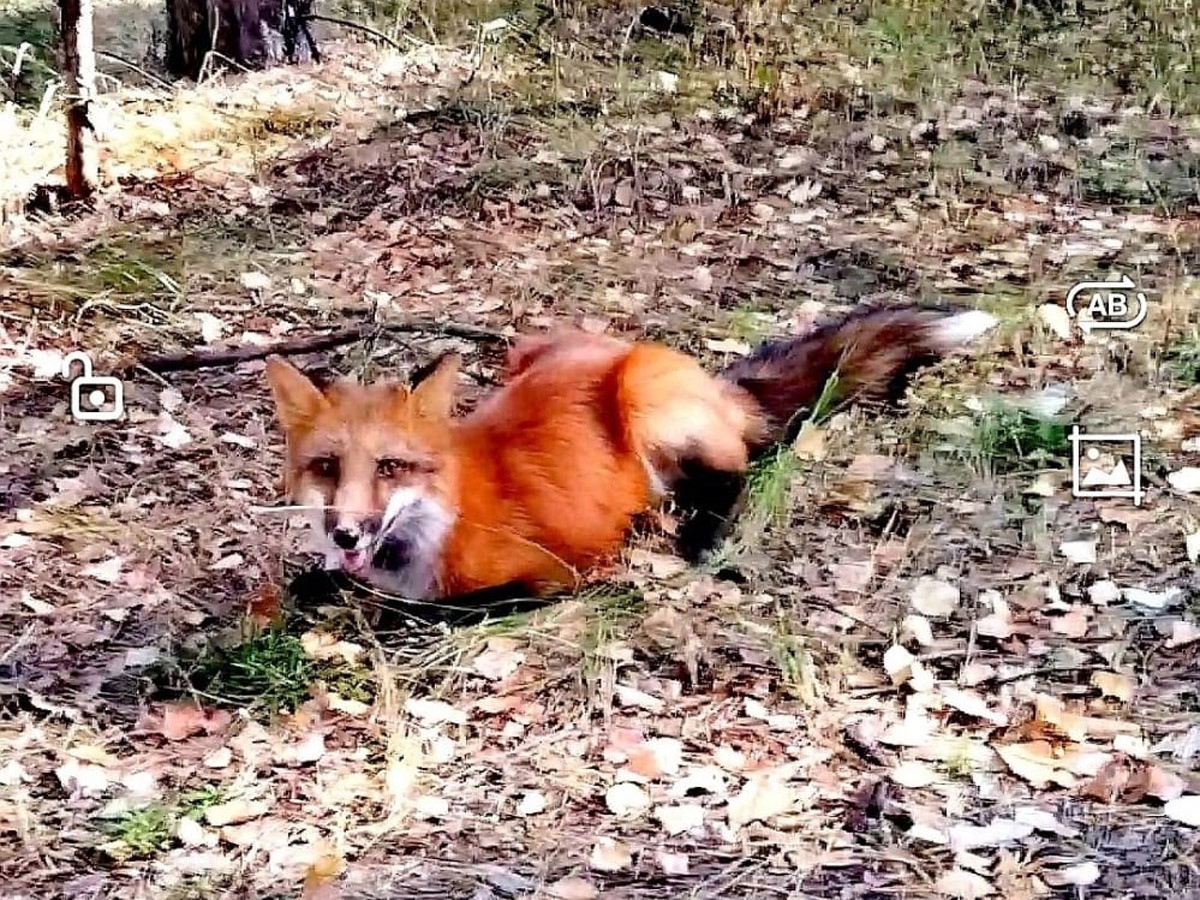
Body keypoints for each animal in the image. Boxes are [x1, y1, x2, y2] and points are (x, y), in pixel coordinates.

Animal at [267, 307, 998, 602]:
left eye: (390, 468)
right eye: (327, 467)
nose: (346, 532)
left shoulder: (555, 572)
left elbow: (430, 611)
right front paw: (317, 582)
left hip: (645, 398)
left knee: (741, 470)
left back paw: (699, 535)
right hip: (525, 351)